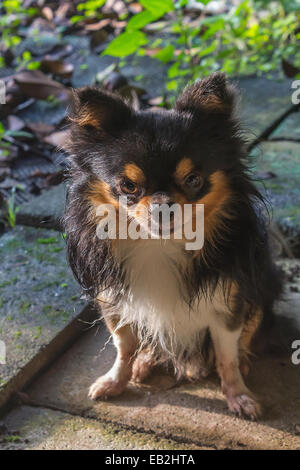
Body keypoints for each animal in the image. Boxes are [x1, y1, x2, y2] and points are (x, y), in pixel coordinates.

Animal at [63, 74, 284, 422]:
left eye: (193, 179)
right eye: (128, 186)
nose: (163, 206)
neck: (159, 243)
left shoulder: (229, 303)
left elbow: (227, 354)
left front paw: (238, 395)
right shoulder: (114, 301)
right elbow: (124, 345)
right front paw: (116, 380)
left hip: (264, 286)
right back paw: (145, 362)